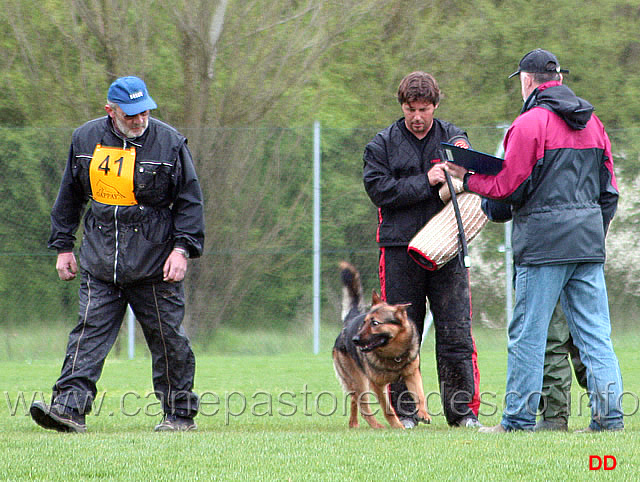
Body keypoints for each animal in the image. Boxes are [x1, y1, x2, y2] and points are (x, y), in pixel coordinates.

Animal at [330, 264, 430, 430]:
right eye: (364, 322)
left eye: (375, 323)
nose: (355, 340)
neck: (393, 355)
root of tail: (349, 322)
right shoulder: (377, 385)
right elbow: (387, 409)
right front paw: (398, 426)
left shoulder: (412, 374)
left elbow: (420, 395)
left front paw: (423, 413)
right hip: (360, 382)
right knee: (363, 406)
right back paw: (376, 426)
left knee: (354, 401)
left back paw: (354, 424)